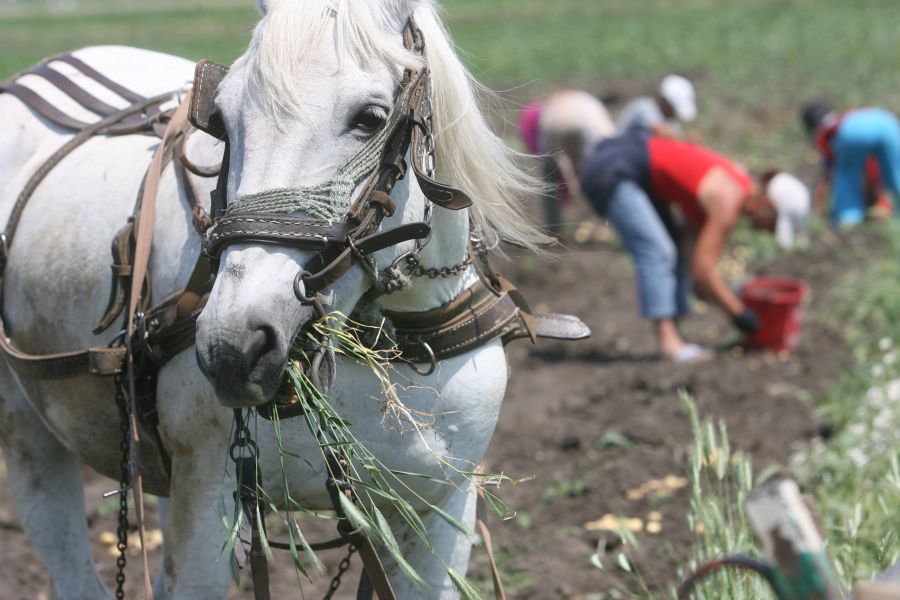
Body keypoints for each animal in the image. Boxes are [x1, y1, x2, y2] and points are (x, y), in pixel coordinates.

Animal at [0, 0, 552, 596]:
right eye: (220, 120)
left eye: (371, 117)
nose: (233, 347)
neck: (386, 341)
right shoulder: (206, 500)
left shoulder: (446, 505)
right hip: (29, 435)